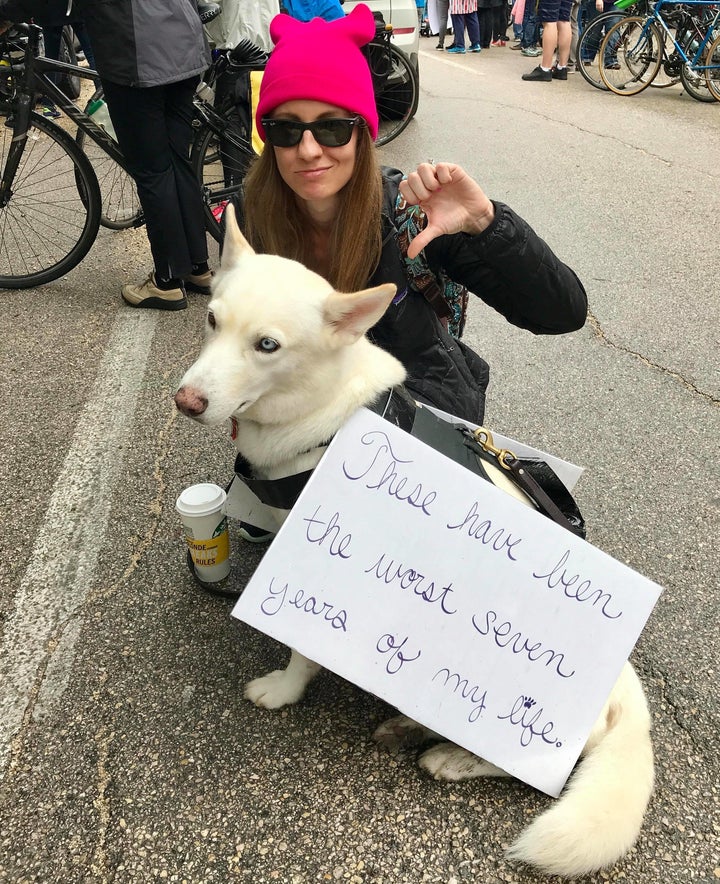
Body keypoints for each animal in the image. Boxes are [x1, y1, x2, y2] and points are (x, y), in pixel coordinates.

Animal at [174, 205, 652, 876]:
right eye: (212, 319)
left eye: (267, 345)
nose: (186, 401)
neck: (321, 411)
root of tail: (627, 700)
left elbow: (302, 653)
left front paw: (285, 689)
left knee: (525, 769)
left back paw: (448, 756)